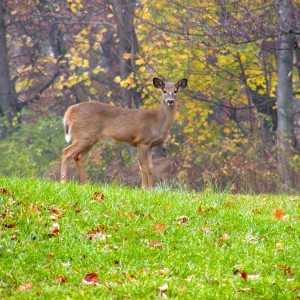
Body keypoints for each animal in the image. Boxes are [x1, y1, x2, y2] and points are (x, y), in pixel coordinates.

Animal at [60, 78, 188, 189]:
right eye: (164, 91)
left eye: (175, 91)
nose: (170, 101)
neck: (157, 121)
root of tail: (69, 111)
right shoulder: (142, 141)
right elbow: (143, 167)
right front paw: (144, 189)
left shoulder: (150, 145)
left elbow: (151, 168)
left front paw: (151, 190)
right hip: (85, 136)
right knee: (66, 152)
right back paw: (63, 181)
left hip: (90, 139)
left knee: (78, 157)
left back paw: (85, 184)